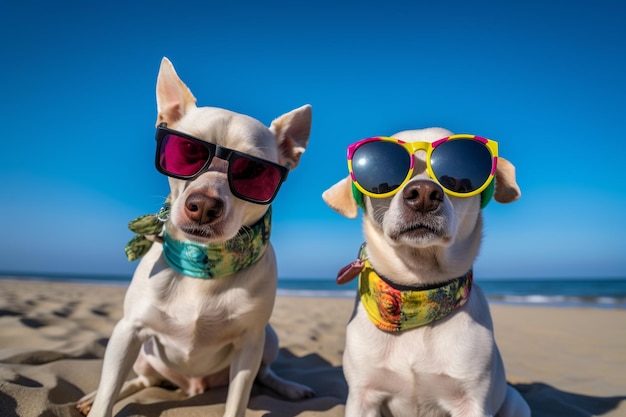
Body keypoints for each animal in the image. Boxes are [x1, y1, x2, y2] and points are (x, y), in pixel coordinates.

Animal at [77, 57, 312, 416]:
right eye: (188, 151)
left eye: (253, 172)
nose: (203, 206)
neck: (202, 261)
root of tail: (193, 387)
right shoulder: (127, 331)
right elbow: (108, 393)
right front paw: (99, 400)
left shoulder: (249, 345)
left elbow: (238, 401)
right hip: (144, 355)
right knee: (140, 380)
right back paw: (95, 396)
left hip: (268, 339)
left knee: (266, 373)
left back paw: (290, 387)